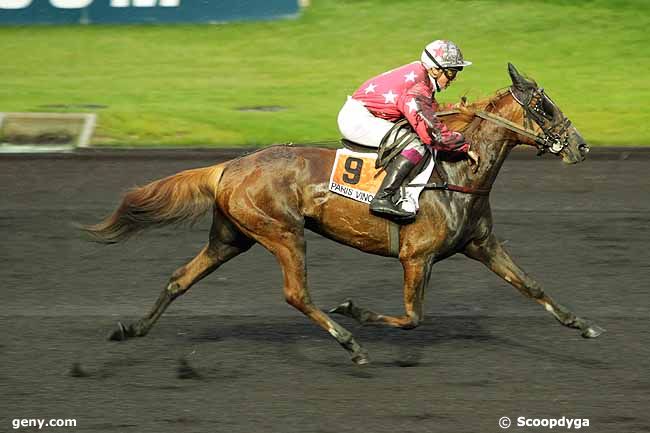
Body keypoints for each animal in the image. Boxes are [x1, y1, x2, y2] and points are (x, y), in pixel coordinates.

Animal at [85, 62, 604, 362]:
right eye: (543, 105)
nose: (581, 147)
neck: (458, 174)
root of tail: (230, 165)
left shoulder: (482, 244)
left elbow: (531, 285)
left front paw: (583, 324)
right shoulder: (416, 257)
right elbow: (413, 317)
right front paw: (356, 312)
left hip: (232, 237)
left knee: (179, 278)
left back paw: (131, 329)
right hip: (283, 233)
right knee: (296, 294)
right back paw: (348, 341)